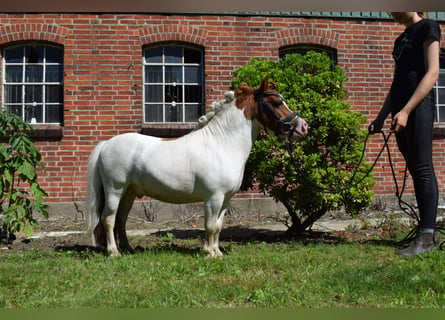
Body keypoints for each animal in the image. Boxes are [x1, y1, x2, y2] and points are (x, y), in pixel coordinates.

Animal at [88, 77, 306, 258]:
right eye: (277, 103)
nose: (303, 127)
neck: (222, 144)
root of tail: (106, 144)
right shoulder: (213, 197)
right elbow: (209, 226)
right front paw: (209, 253)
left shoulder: (225, 199)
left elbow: (218, 226)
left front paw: (217, 252)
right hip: (115, 190)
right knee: (108, 219)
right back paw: (114, 252)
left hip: (129, 193)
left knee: (121, 220)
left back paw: (128, 249)